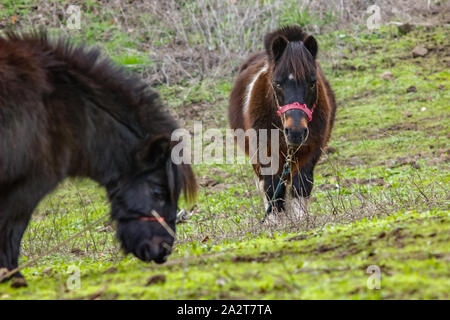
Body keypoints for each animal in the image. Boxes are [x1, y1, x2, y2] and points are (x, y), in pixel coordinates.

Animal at [0, 29, 197, 280]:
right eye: (157, 191)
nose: (162, 251)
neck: (69, 109)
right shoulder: (26, 189)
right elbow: (11, 234)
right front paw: (13, 278)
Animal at [230, 26, 336, 218]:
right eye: (277, 83)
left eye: (312, 82)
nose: (295, 132)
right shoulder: (264, 153)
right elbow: (272, 189)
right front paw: (275, 221)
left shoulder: (311, 151)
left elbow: (301, 185)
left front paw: (301, 219)